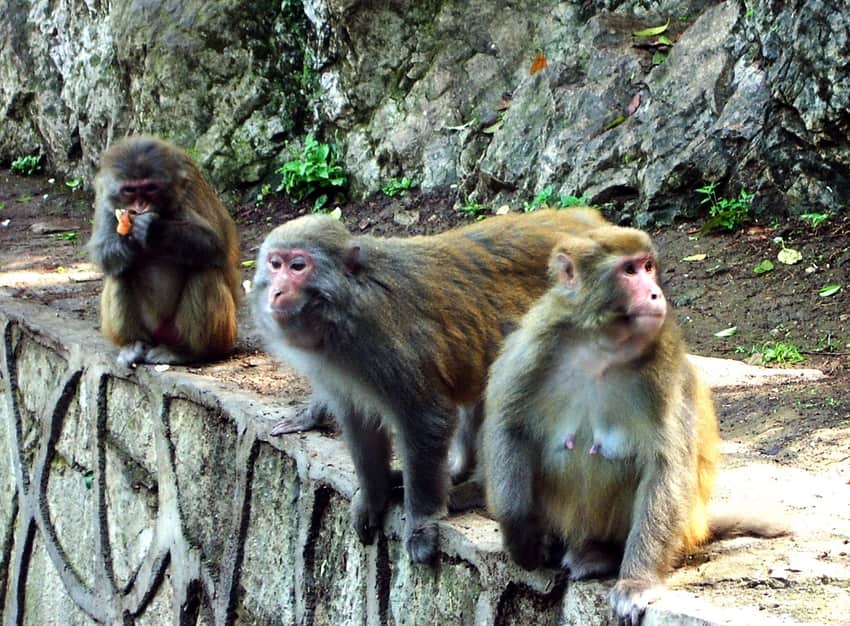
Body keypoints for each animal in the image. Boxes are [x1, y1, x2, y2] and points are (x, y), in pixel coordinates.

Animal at [87, 135, 240, 367]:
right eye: (129, 190)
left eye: (151, 188)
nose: (140, 207)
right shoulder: (105, 197)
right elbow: (102, 251)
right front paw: (127, 239)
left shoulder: (190, 188)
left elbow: (217, 243)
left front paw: (153, 230)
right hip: (151, 329)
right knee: (120, 272)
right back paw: (133, 345)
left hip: (215, 334)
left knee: (205, 270)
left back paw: (189, 352)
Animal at [250, 207, 610, 564]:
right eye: (275, 263)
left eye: (298, 266)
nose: (276, 291)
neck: (346, 304)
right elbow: (359, 423)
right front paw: (373, 495)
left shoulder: (382, 343)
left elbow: (425, 417)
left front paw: (422, 523)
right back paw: (456, 473)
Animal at [482, 225, 787, 624]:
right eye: (629, 271)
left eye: (648, 266)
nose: (655, 293)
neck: (601, 347)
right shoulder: (532, 346)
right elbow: (509, 426)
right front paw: (522, 539)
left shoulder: (665, 371)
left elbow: (665, 467)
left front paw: (637, 583)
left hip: (684, 527)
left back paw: (601, 553)